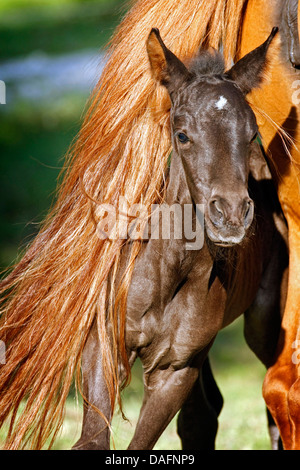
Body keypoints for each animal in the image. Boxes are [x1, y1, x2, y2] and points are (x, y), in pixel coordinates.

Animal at [74, 27, 288, 450]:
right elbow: (91, 441)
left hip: (261, 325)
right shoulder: (104, 346)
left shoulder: (176, 367)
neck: (168, 273)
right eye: (183, 135)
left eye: (252, 133)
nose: (231, 216)